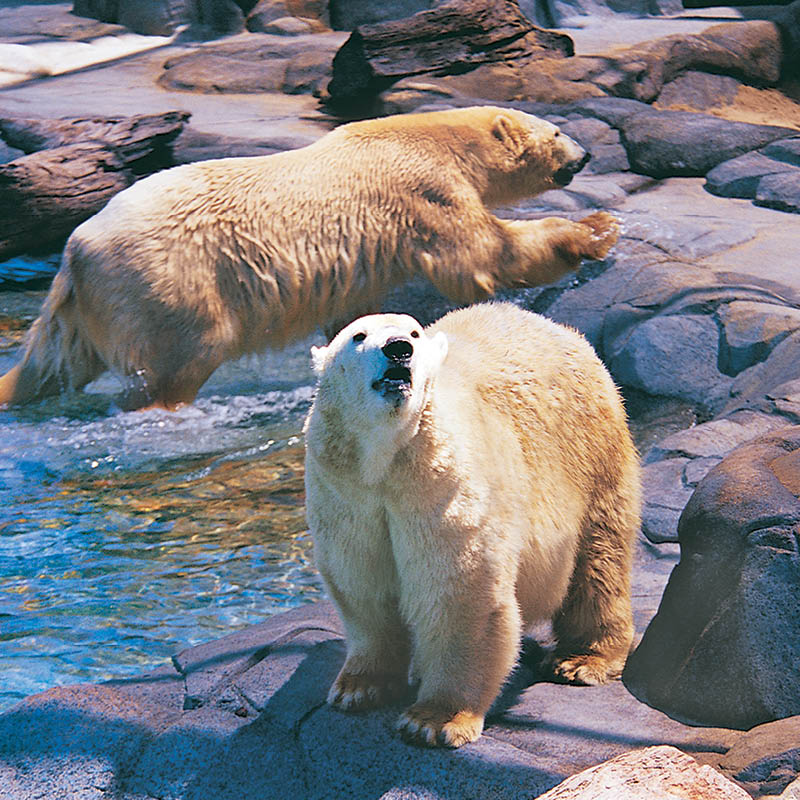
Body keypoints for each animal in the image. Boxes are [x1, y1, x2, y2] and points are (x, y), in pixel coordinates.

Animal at [0, 106, 620, 411]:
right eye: (558, 130)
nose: (586, 154)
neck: (429, 136)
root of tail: (75, 249)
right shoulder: (422, 189)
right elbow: (482, 253)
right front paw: (594, 232)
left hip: (92, 303)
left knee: (55, 363)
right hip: (165, 278)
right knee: (183, 355)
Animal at [304, 302, 641, 748]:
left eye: (414, 333)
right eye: (358, 337)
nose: (398, 349)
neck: (383, 460)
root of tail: (557, 328)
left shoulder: (441, 486)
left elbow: (461, 592)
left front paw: (433, 720)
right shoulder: (347, 494)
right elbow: (362, 585)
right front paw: (358, 688)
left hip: (591, 449)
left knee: (600, 556)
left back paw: (582, 660)